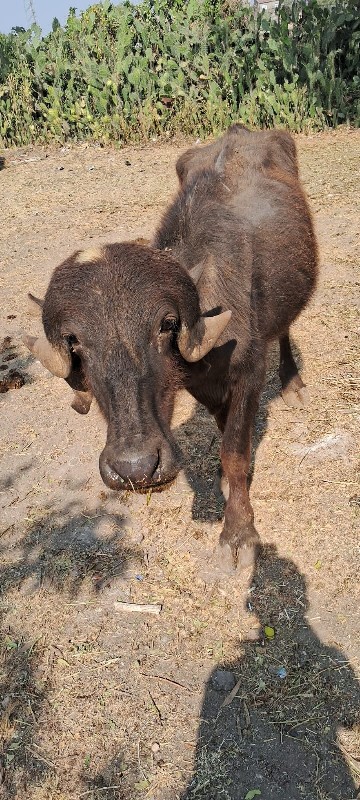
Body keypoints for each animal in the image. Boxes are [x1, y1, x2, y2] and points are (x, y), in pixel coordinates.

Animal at [23, 126, 318, 568]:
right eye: (75, 343)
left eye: (166, 325)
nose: (135, 468)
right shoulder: (201, 384)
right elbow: (223, 429)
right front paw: (228, 486)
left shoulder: (250, 371)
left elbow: (234, 451)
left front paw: (237, 533)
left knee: (284, 329)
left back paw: (293, 385)